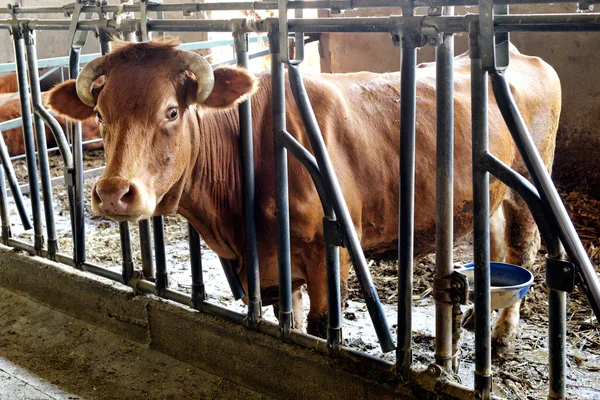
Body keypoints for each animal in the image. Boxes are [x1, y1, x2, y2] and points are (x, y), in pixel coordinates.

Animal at [47, 39, 564, 354]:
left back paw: (500, 337)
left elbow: (320, 327)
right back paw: (478, 315)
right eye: (99, 113)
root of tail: (522, 57)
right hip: (488, 194)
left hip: (526, 181)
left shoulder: (325, 252)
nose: (113, 193)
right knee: (494, 239)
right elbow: (287, 321)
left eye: (171, 111)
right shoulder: (275, 265)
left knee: (524, 248)